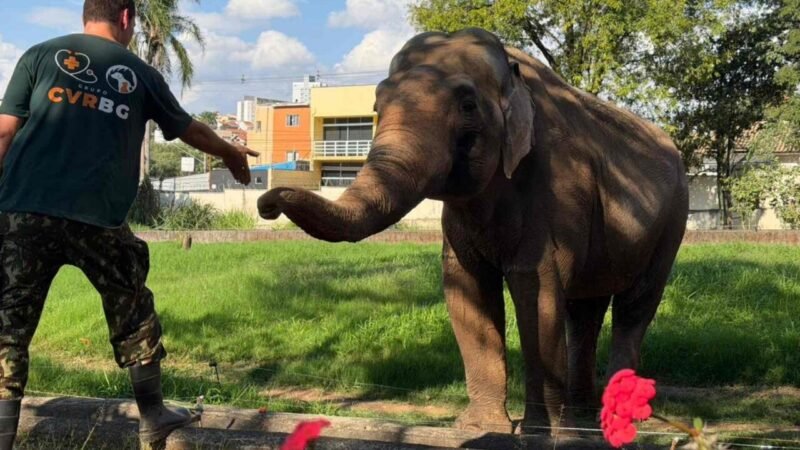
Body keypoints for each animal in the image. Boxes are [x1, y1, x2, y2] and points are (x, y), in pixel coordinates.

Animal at [257, 28, 689, 435]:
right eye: (377, 106)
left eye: (467, 106)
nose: (267, 204)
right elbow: (467, 288)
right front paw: (480, 428)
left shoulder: (558, 189)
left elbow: (536, 289)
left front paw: (539, 432)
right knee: (585, 309)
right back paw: (584, 421)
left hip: (672, 222)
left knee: (635, 306)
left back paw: (613, 419)